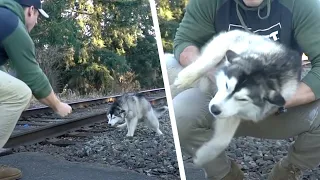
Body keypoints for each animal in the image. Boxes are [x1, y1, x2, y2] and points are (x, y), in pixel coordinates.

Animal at [174, 29, 302, 166]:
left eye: (243, 99)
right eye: (226, 85)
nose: (214, 109)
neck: (269, 67)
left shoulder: (236, 110)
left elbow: (223, 140)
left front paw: (205, 156)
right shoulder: (231, 38)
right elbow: (211, 59)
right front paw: (185, 78)